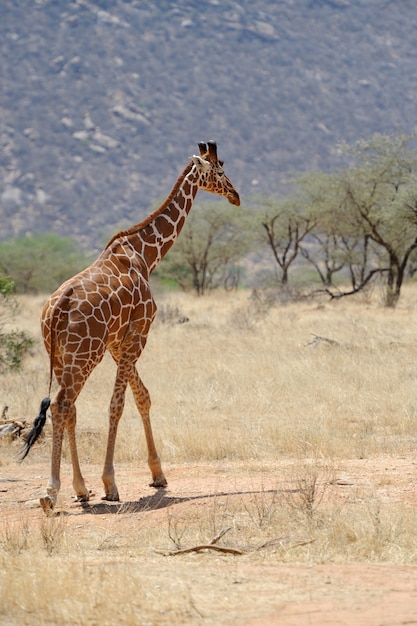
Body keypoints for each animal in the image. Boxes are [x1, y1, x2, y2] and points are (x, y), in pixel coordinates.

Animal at [22, 141, 239, 512]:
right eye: (220, 170)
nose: (236, 195)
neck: (146, 255)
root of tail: (56, 311)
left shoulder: (117, 342)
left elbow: (142, 396)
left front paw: (158, 474)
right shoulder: (138, 333)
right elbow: (118, 404)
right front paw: (111, 484)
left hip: (63, 356)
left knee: (69, 408)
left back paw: (80, 489)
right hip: (84, 355)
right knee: (63, 405)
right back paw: (52, 491)